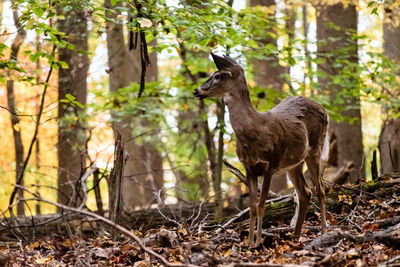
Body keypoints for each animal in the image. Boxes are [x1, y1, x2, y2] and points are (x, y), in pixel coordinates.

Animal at [194, 53, 328, 248]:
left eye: (218, 75)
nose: (196, 91)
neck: (254, 130)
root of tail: (324, 110)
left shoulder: (270, 165)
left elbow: (261, 204)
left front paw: (257, 242)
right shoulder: (248, 168)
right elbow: (251, 206)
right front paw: (249, 242)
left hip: (316, 148)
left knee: (321, 190)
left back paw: (324, 232)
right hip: (293, 163)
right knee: (305, 193)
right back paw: (295, 238)